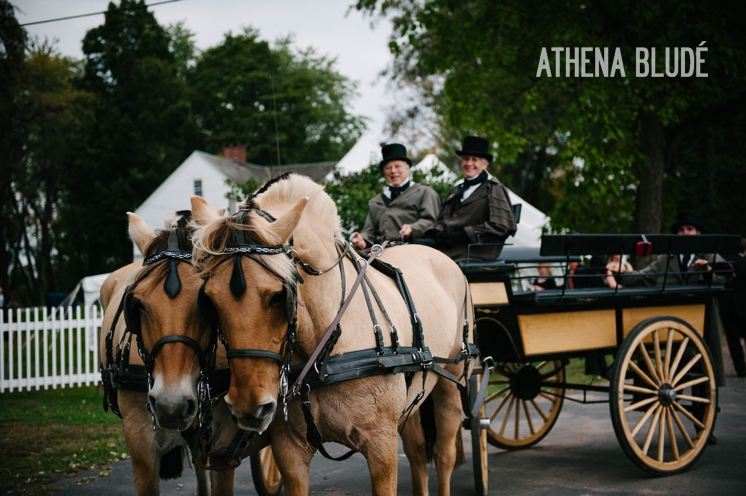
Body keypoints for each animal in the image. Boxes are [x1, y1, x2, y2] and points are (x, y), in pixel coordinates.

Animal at [189, 172, 474, 494]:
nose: (248, 407)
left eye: (278, 297)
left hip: (453, 380)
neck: (324, 352)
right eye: (209, 300)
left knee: (444, 454)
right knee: (416, 451)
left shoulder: (382, 447)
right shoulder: (289, 450)